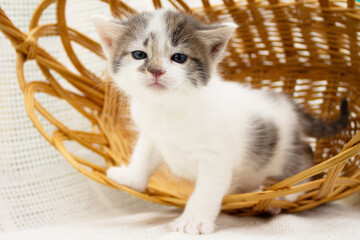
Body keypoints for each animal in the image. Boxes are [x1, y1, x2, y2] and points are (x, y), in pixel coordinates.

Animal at [91, 9, 348, 234]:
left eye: (179, 58)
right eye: (139, 54)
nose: (155, 70)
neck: (169, 107)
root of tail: (289, 104)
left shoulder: (215, 159)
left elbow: (205, 191)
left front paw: (193, 220)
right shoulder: (152, 135)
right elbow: (142, 156)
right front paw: (131, 178)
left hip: (283, 148)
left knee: (305, 156)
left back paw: (287, 192)